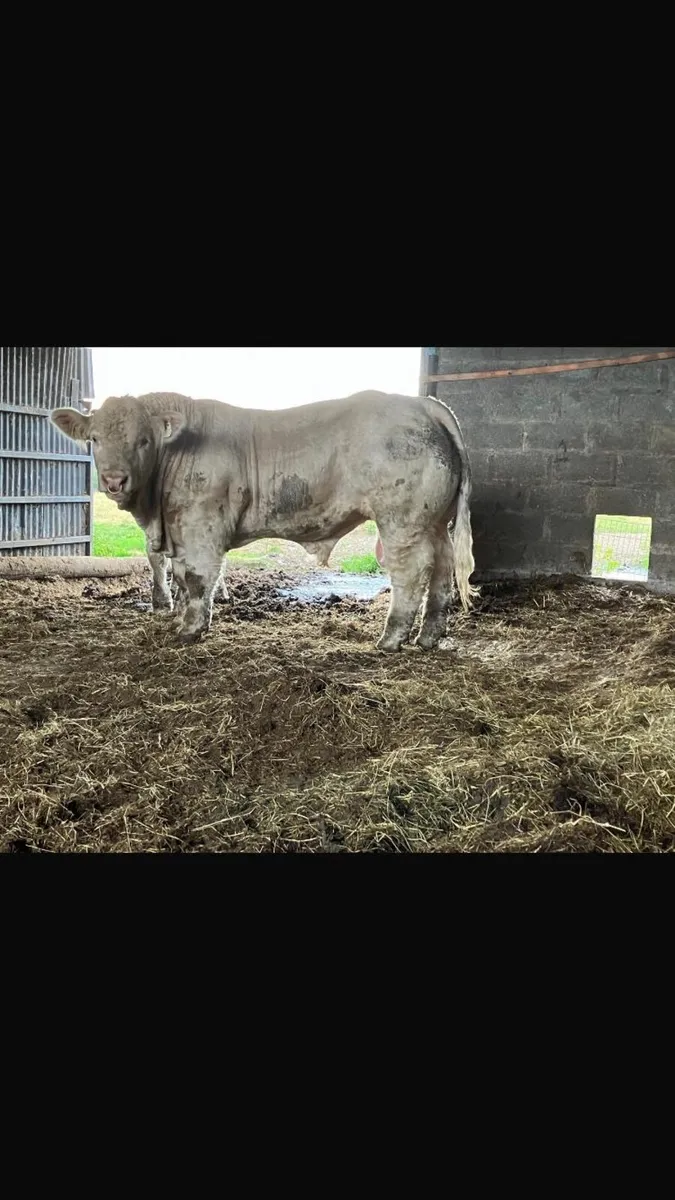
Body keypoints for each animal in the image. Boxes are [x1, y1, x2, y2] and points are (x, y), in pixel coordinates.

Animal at [51, 390, 477, 650]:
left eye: (143, 440)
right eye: (94, 439)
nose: (114, 480)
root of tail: (423, 403)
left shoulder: (201, 526)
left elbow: (197, 578)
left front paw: (190, 629)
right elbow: (181, 578)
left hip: (402, 522)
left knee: (412, 573)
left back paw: (390, 639)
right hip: (435, 522)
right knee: (441, 571)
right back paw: (428, 637)